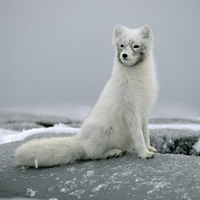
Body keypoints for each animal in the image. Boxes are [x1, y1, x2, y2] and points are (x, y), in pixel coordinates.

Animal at [14, 23, 158, 167]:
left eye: (136, 46)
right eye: (122, 45)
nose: (124, 55)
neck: (137, 78)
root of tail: (80, 140)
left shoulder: (143, 111)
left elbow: (145, 133)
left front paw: (149, 148)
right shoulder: (130, 110)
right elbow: (139, 136)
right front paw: (144, 153)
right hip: (104, 131)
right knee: (91, 154)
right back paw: (111, 152)